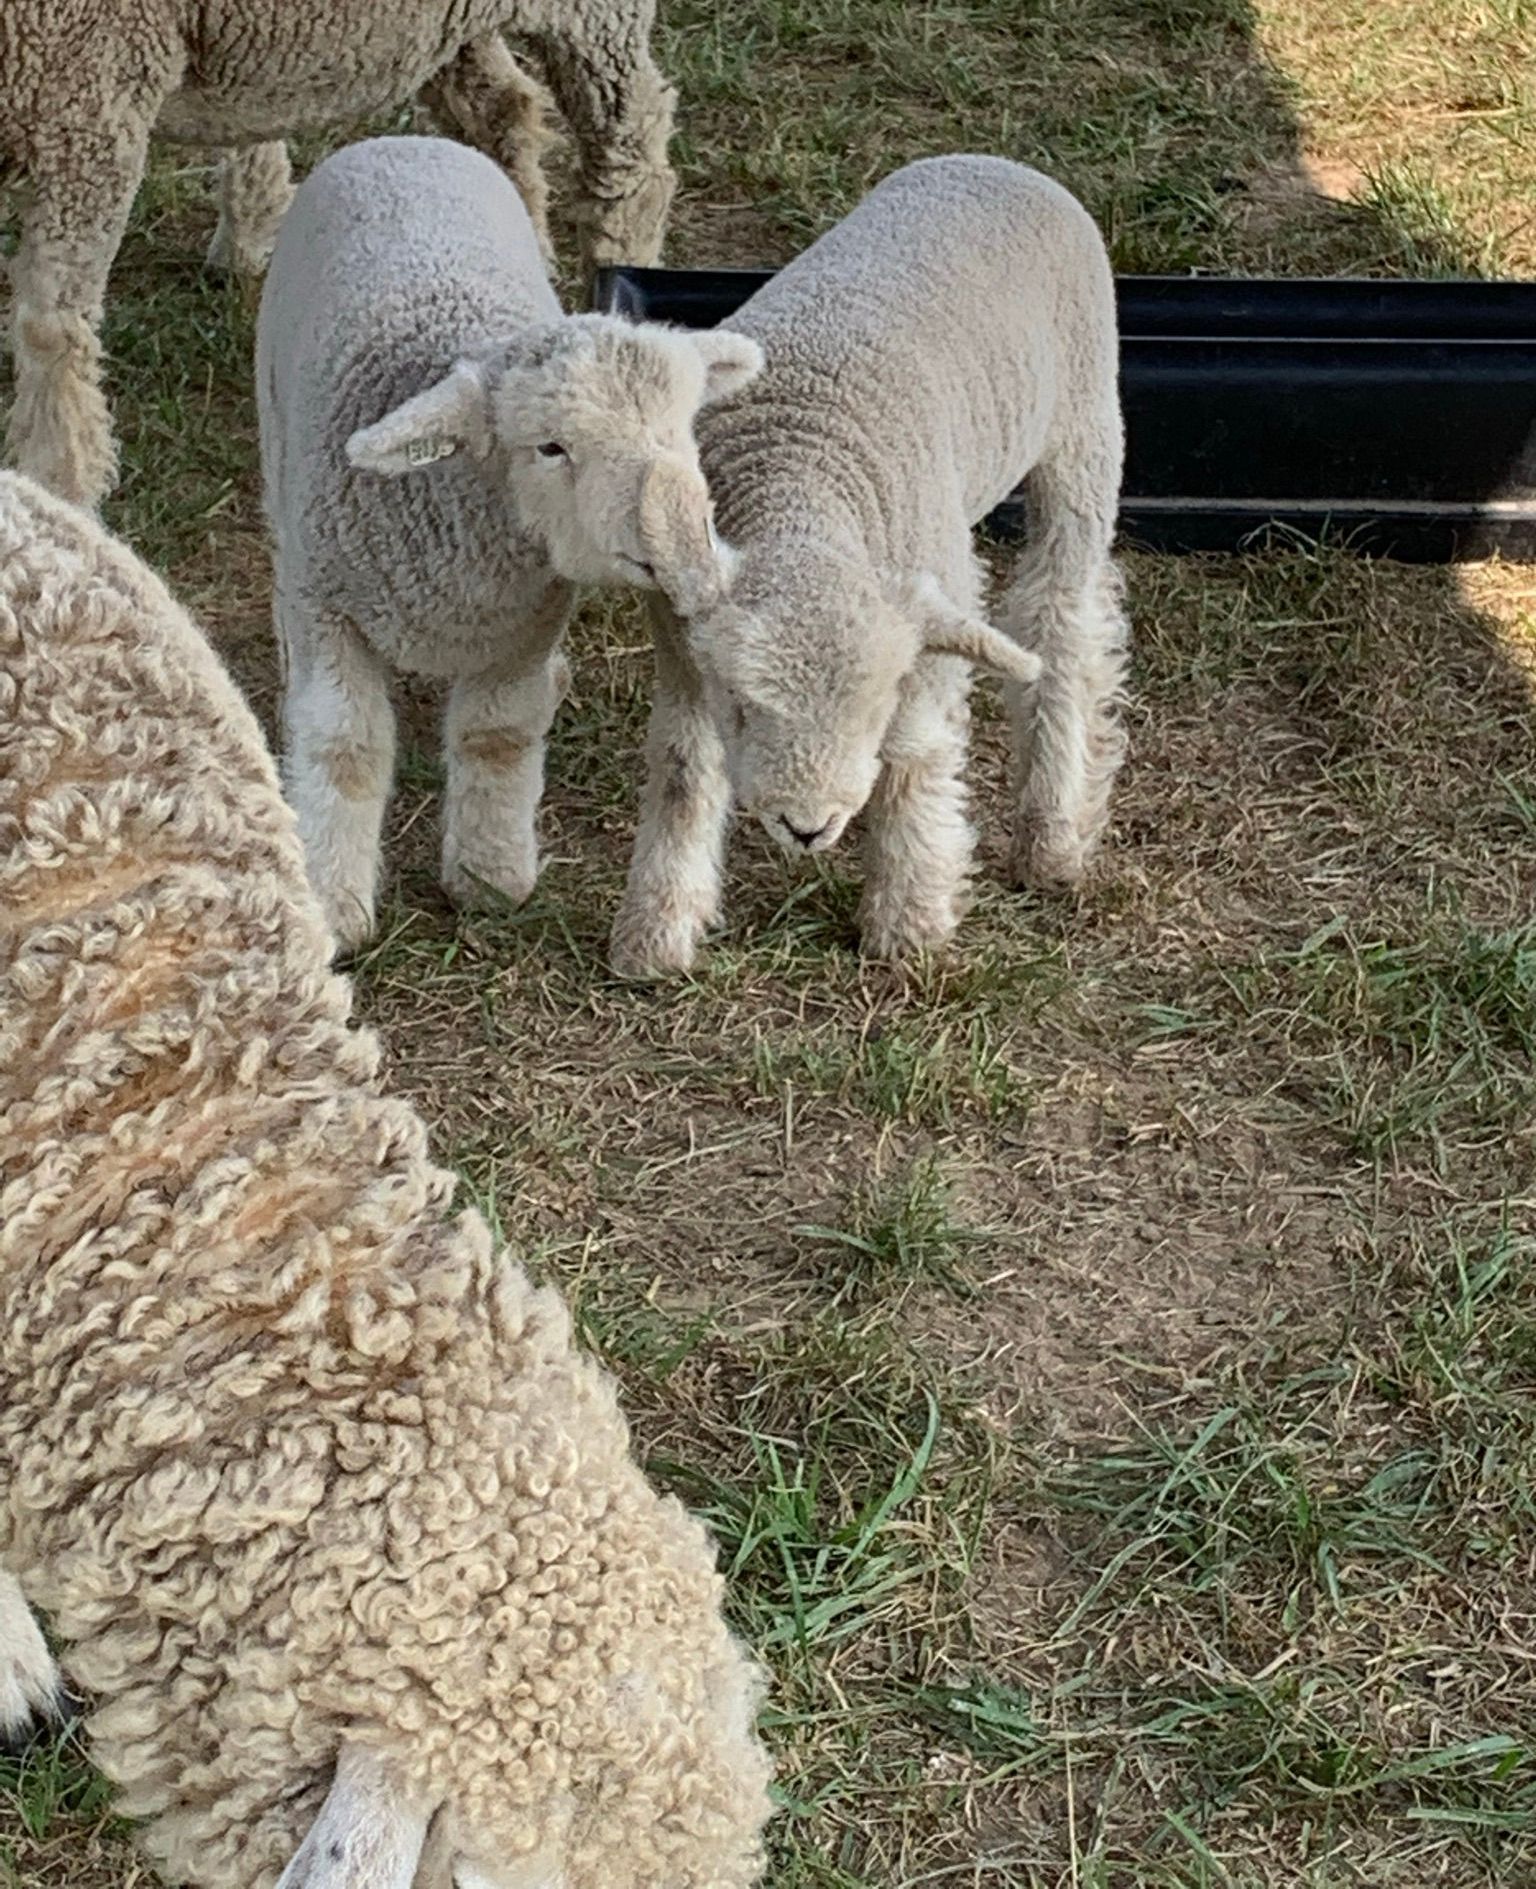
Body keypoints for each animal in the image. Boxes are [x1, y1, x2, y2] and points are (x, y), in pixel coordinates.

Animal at [0, 1, 679, 509]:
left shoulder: (90, 104)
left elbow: (48, 329)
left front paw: (54, 481)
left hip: (596, 20)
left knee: (633, 138)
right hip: (456, 27)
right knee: (503, 109)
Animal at [258, 136, 761, 955]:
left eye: (685, 427)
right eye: (550, 448)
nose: (686, 544)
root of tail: (404, 140)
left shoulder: (524, 624)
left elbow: (497, 733)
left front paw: (489, 878)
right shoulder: (330, 609)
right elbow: (346, 746)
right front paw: (333, 905)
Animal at [610, 154, 1130, 979]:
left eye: (873, 712)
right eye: (744, 708)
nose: (806, 827)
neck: (802, 492)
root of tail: (996, 162)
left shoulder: (919, 644)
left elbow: (916, 757)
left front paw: (908, 925)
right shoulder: (685, 643)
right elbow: (685, 768)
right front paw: (656, 931)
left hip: (1083, 426)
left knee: (1062, 615)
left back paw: (1051, 830)